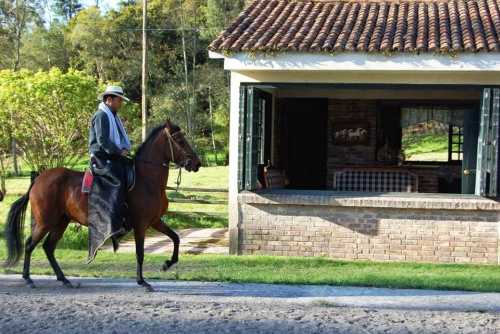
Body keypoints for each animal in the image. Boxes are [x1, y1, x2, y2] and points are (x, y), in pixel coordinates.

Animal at [5, 118, 201, 290]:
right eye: (180, 141)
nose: (197, 162)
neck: (146, 180)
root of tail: (38, 180)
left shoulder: (155, 221)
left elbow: (175, 238)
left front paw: (167, 264)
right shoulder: (141, 224)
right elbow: (140, 253)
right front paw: (142, 282)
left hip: (61, 221)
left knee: (48, 247)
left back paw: (64, 280)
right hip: (46, 221)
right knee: (30, 244)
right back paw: (28, 279)